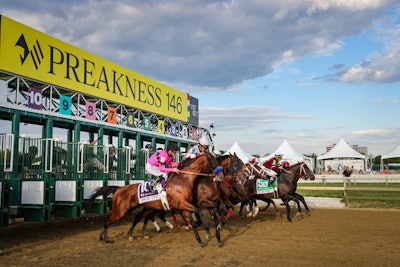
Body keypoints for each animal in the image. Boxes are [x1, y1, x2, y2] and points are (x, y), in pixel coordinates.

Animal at [85, 154, 220, 248]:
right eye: (213, 161)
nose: (220, 175)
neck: (183, 179)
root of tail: (119, 189)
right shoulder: (182, 204)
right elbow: (199, 211)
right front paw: (208, 233)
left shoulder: (184, 206)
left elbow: (195, 219)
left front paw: (202, 239)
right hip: (120, 211)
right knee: (107, 220)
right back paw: (106, 238)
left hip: (142, 208)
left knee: (135, 217)